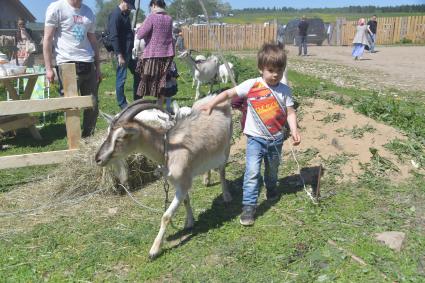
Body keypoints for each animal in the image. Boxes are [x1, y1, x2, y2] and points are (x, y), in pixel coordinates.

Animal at [95, 97, 232, 260]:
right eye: (108, 133)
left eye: (121, 137)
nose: (98, 159)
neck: (167, 149)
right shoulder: (177, 182)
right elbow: (186, 201)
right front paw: (190, 222)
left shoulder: (183, 183)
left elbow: (166, 216)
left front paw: (154, 250)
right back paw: (206, 179)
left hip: (226, 147)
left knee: (222, 170)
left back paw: (226, 196)